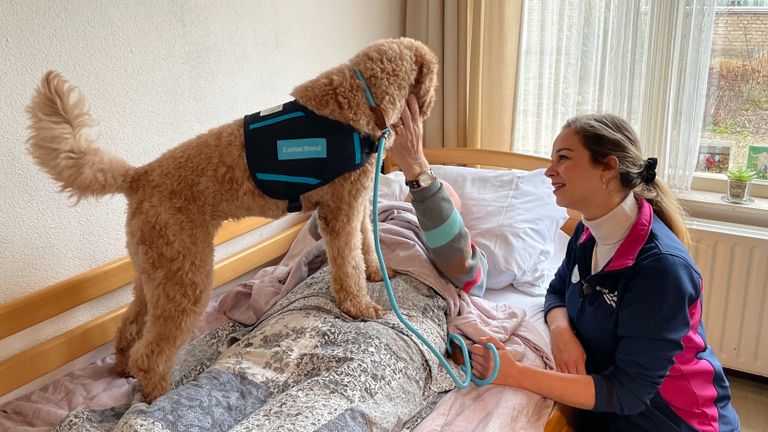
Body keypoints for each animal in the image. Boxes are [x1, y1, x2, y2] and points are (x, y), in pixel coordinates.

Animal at [27, 37, 436, 402]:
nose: (426, 109)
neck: (357, 98)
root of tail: (138, 176)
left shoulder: (356, 202)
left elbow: (366, 241)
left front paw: (376, 273)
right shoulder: (340, 210)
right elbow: (348, 262)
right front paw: (359, 306)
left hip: (155, 271)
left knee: (129, 327)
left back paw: (125, 367)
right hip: (185, 275)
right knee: (152, 351)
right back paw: (158, 395)